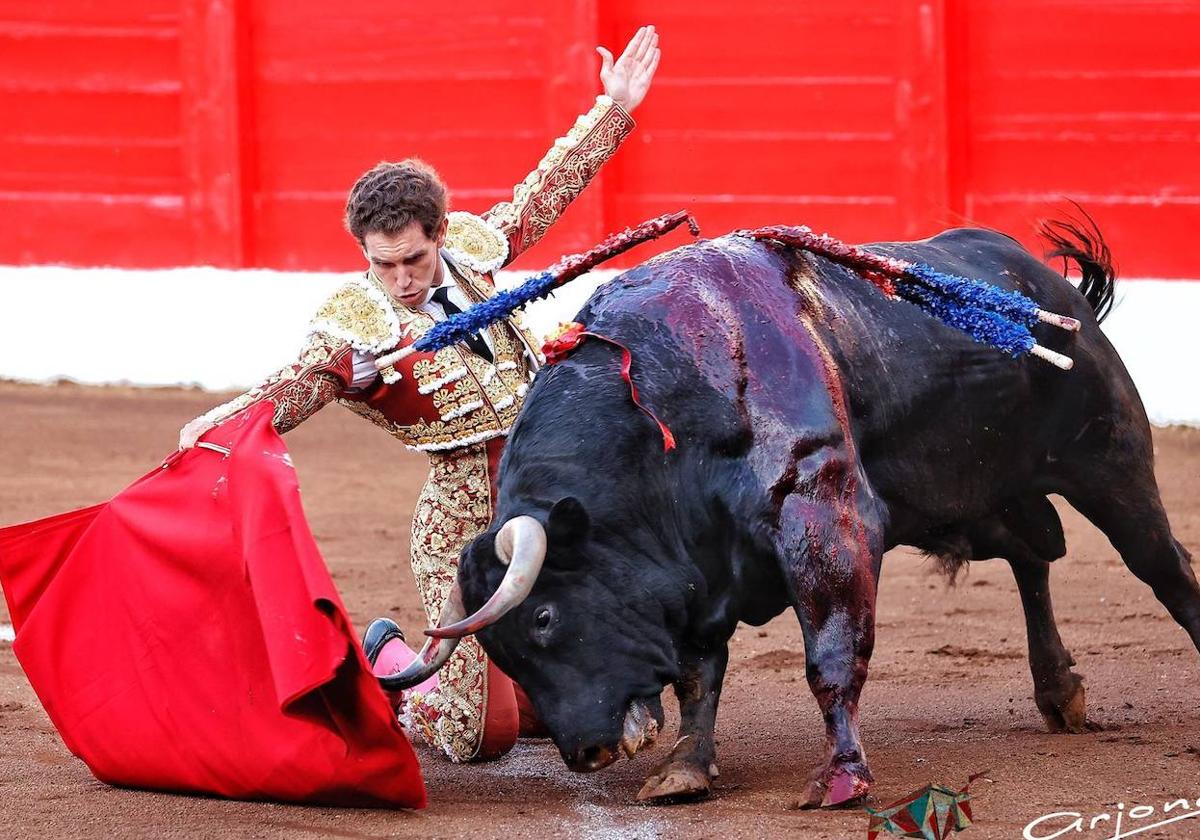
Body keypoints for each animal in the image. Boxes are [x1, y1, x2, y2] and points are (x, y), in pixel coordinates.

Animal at [427, 226, 1195, 801]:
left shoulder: (824, 517)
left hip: (1110, 461)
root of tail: (1048, 285)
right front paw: (683, 771)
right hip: (977, 502)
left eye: (545, 617)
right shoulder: (696, 569)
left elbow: (830, 651)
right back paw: (1059, 691)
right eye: (502, 652)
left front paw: (841, 778)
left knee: (1162, 566)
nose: (586, 753)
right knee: (1033, 557)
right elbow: (699, 672)